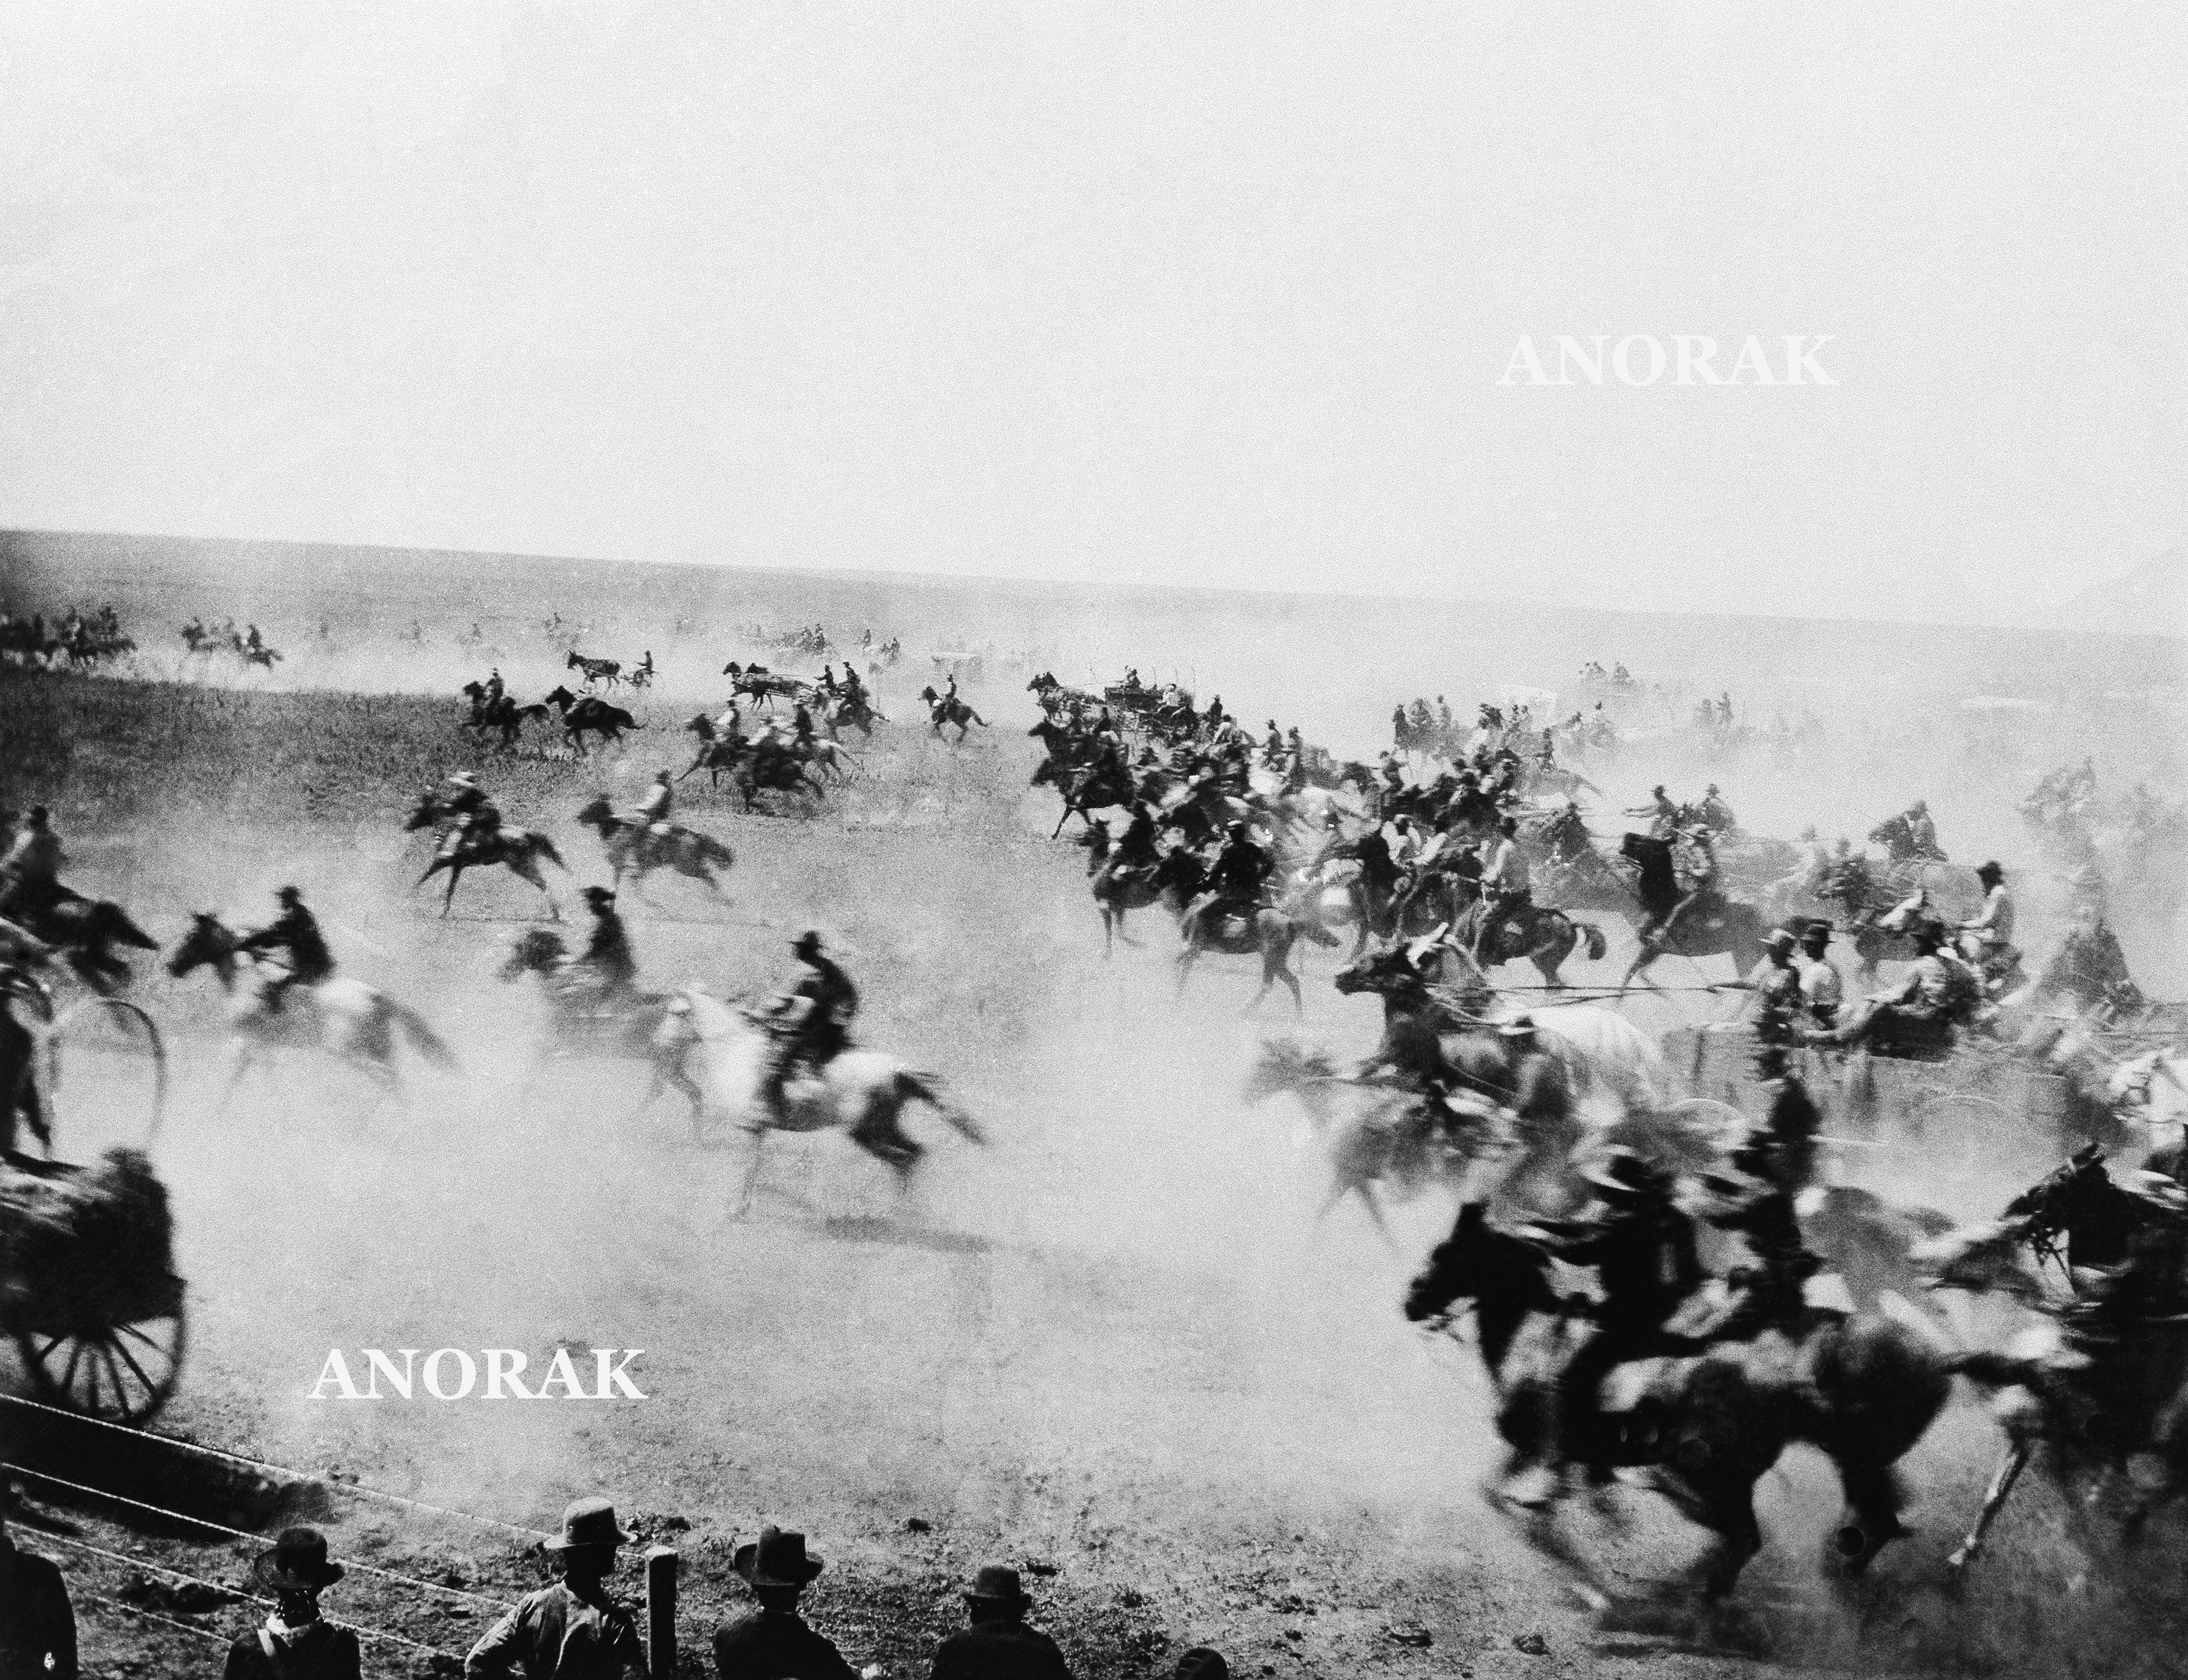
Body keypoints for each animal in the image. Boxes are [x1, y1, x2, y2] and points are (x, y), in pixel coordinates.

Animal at [656, 988, 984, 1216]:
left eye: (676, 1013)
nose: (659, 1043)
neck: (733, 1050)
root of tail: (896, 1068)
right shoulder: (757, 1129)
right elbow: (751, 1167)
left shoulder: (748, 1128)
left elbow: (746, 1167)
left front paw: (735, 1209)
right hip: (882, 1126)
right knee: (914, 1154)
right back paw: (903, 1215)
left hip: (865, 1131)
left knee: (904, 1158)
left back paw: (899, 1215)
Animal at [1619, 835, 1767, 988]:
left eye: (1649, 842)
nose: (1628, 837)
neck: (1663, 904)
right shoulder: (1656, 950)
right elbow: (1635, 974)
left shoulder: (1654, 947)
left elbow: (1632, 974)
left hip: (1745, 951)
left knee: (1746, 981)